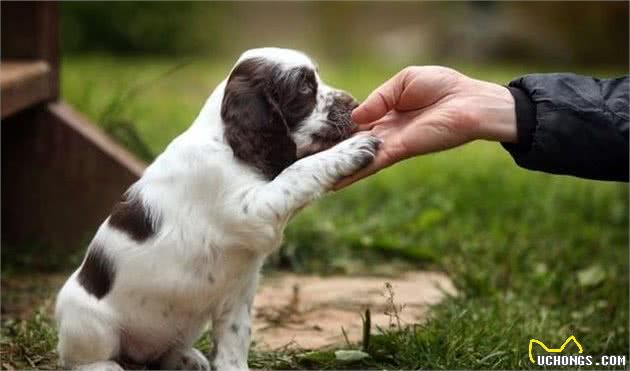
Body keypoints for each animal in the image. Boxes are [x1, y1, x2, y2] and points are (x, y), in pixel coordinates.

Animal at [55, 48, 380, 370]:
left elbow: (234, 345)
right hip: (87, 322)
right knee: (82, 358)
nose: (355, 104)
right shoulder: (251, 209)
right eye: (303, 87)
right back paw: (107, 366)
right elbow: (297, 172)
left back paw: (186, 358)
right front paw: (350, 150)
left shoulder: (236, 296)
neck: (226, 142)